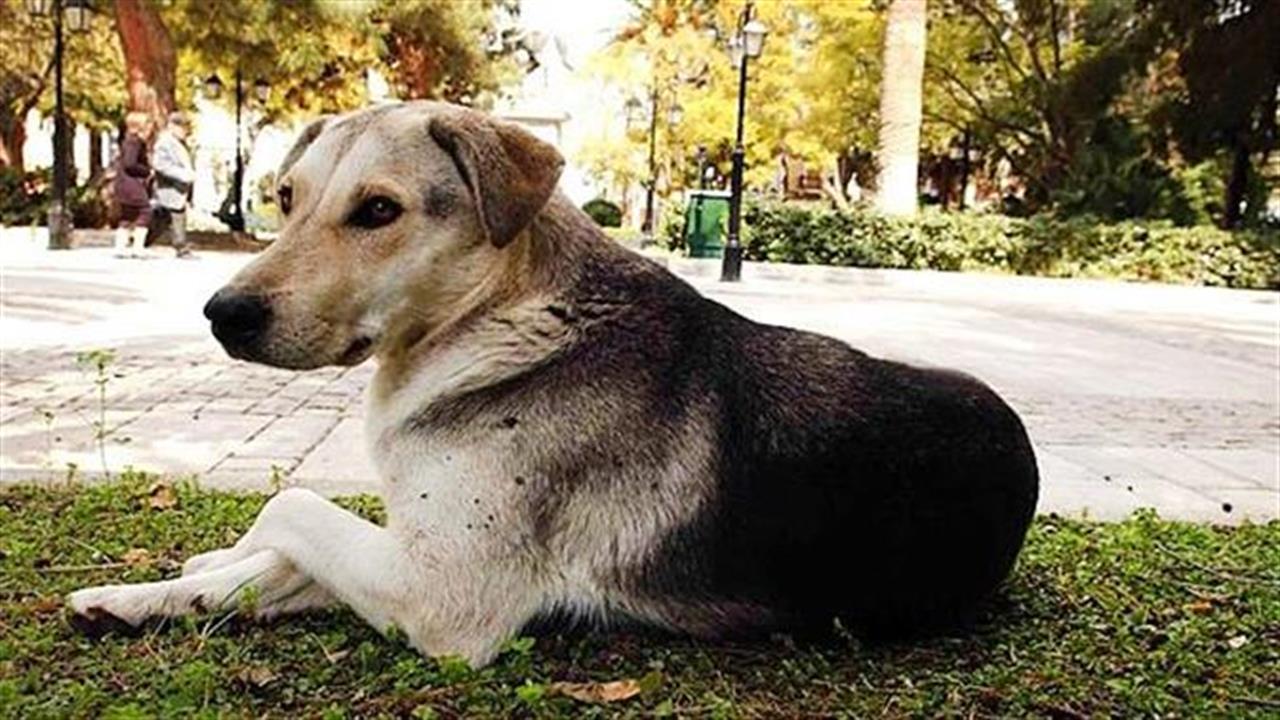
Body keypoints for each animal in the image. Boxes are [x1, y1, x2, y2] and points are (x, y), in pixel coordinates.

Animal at [67, 99, 1039, 661]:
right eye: (284, 199)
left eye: (378, 210)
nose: (221, 313)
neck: (496, 321)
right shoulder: (417, 554)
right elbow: (281, 557)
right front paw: (151, 594)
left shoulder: (449, 597)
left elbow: (293, 505)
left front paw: (213, 560)